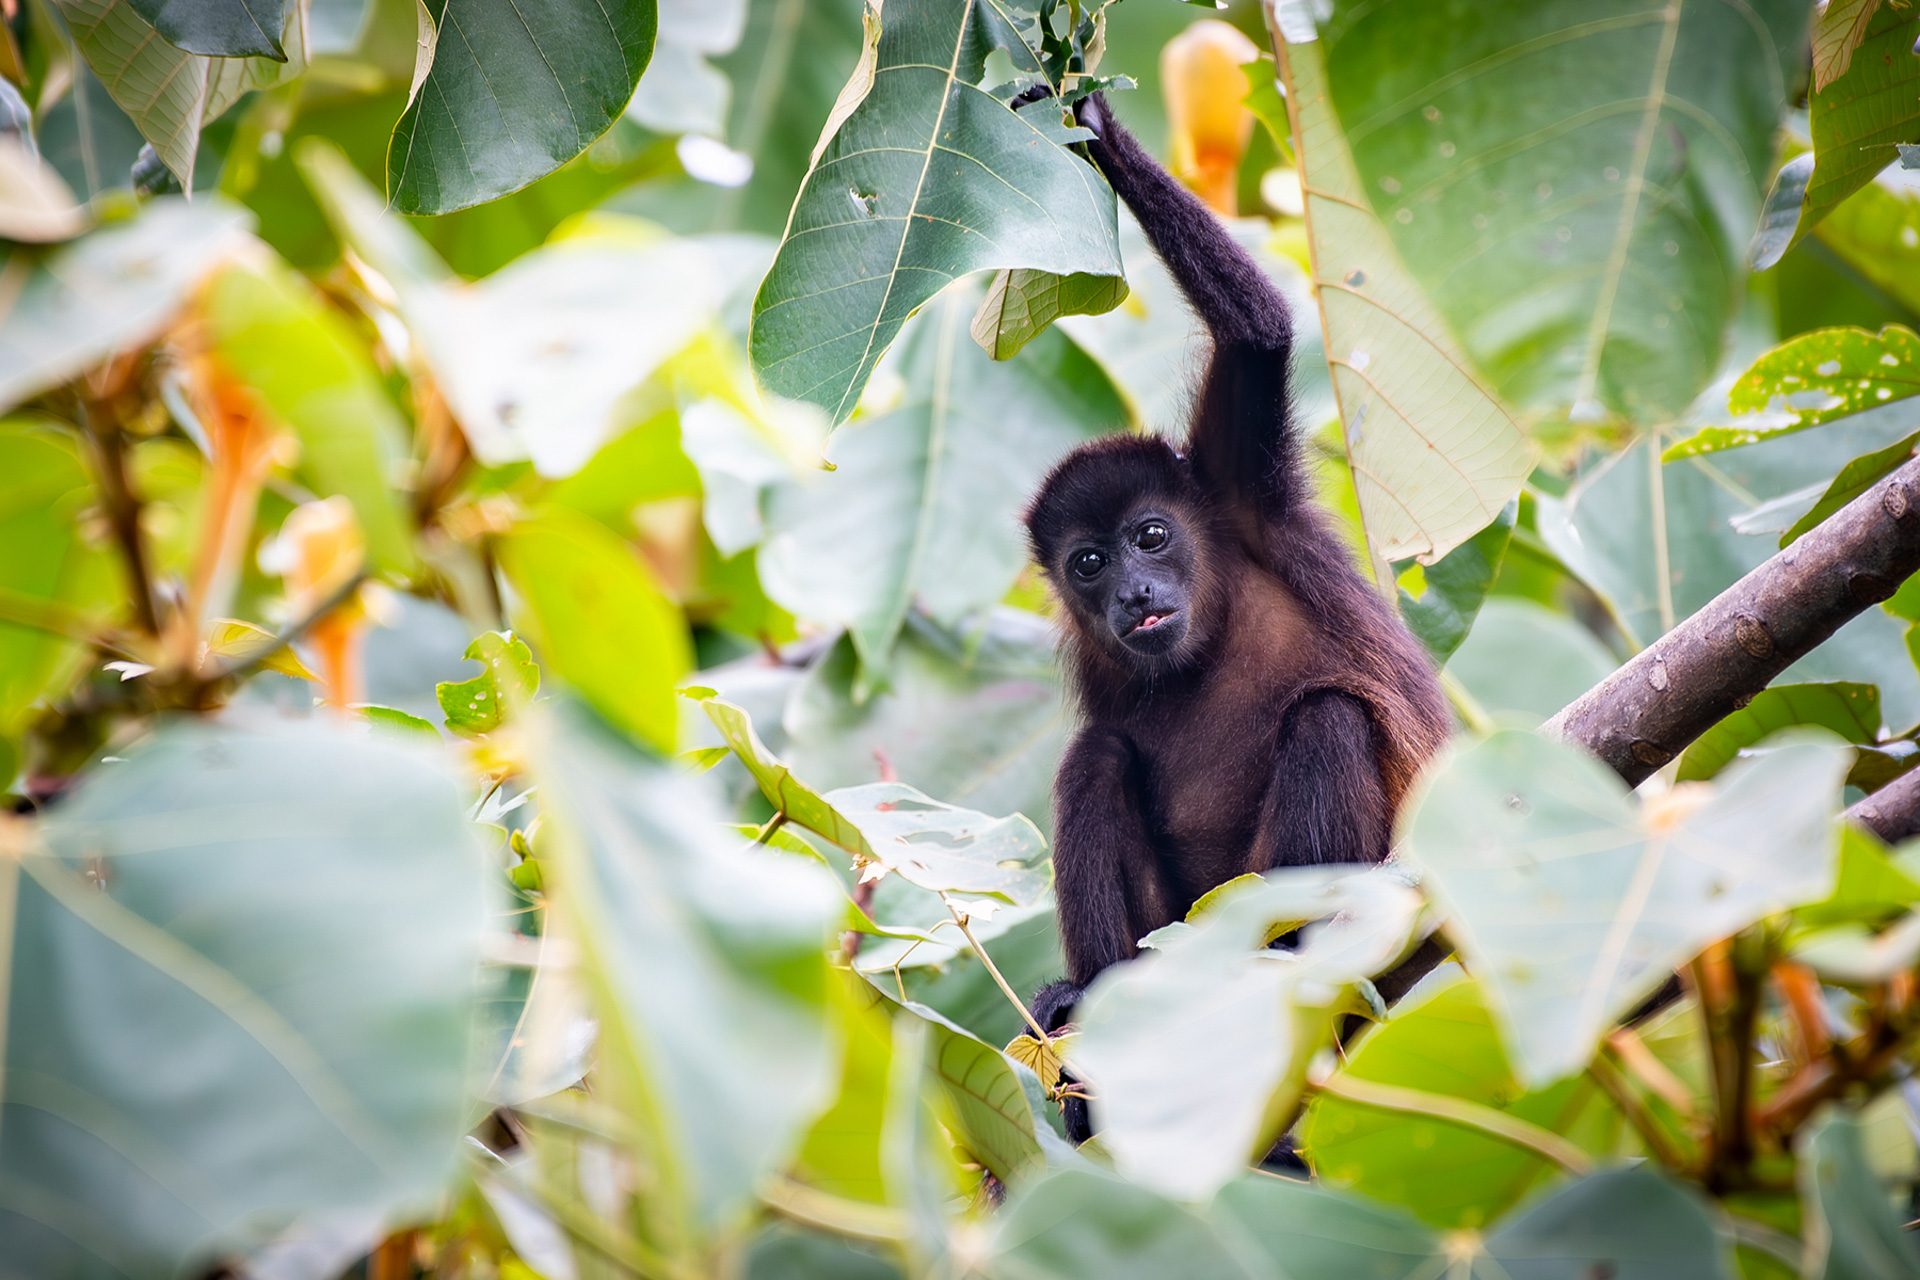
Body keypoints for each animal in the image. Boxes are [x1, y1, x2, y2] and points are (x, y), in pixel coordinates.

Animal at [1020, 94, 1451, 1143]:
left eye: (1152, 536)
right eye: (1088, 563)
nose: (1133, 595)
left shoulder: (1238, 487)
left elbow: (1257, 335)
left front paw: (1094, 126)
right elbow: (1101, 740)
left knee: (1330, 718)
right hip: (1174, 932)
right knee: (1095, 758)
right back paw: (1091, 1025)